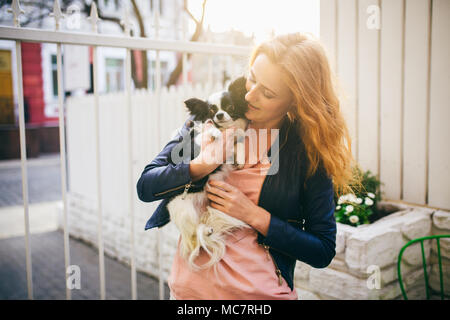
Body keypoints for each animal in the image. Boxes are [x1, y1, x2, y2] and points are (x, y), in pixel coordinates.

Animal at [167, 76, 250, 268]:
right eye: (212, 110)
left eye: (230, 107)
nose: (219, 115)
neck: (224, 130)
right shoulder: (199, 139)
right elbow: (207, 130)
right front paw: (214, 133)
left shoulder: (234, 142)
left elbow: (239, 144)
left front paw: (241, 158)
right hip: (185, 211)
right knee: (193, 235)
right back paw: (204, 233)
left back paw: (208, 230)